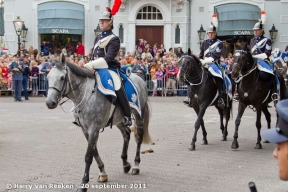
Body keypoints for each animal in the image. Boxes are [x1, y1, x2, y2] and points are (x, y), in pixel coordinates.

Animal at [45, 54, 151, 192]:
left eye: (62, 77)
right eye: (48, 77)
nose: (50, 102)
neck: (85, 94)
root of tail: (140, 78)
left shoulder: (94, 129)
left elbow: (88, 156)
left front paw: (83, 183)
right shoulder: (86, 130)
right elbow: (94, 152)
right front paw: (103, 173)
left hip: (139, 114)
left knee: (138, 137)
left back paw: (135, 165)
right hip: (118, 119)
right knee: (126, 134)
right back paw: (125, 164)